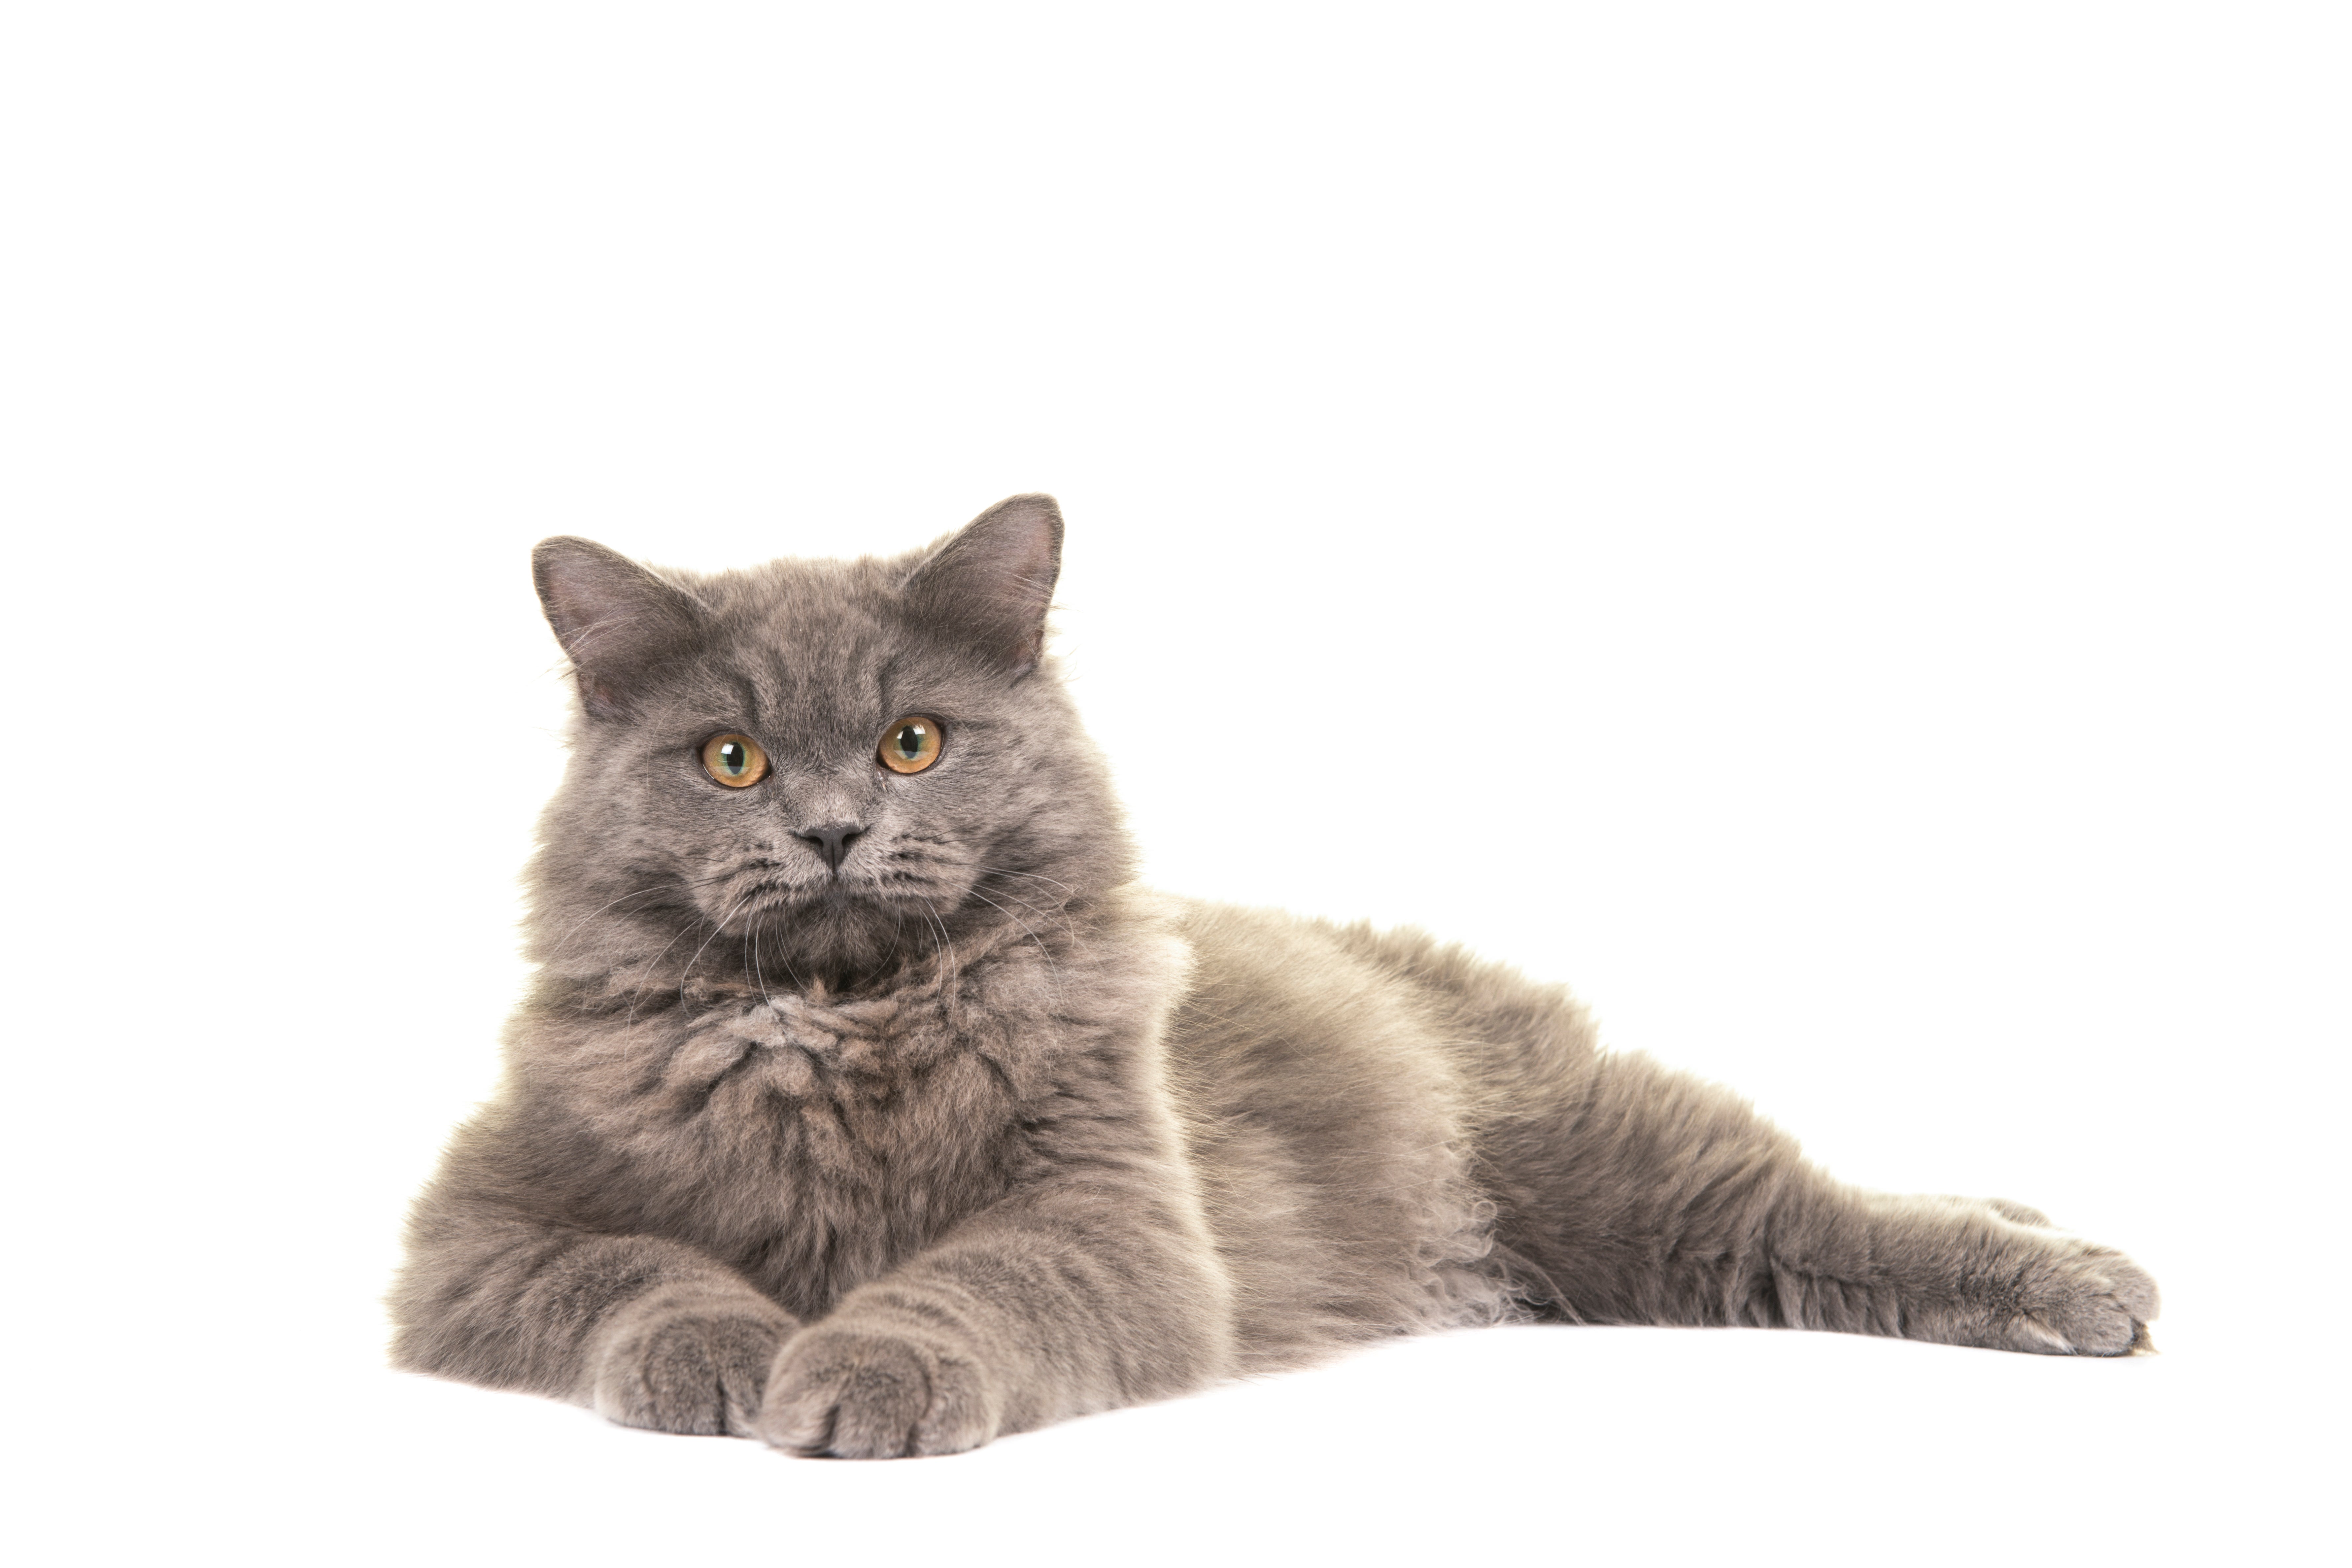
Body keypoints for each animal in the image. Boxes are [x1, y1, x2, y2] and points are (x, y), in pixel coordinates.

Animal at [390, 494, 2164, 1457]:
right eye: (732, 760)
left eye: (911, 742)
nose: (831, 831)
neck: (844, 1026)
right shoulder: (474, 1233)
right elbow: (637, 1270)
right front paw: (729, 1352)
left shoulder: (1112, 1216)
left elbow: (968, 1286)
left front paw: (856, 1367)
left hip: (1614, 1172)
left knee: (1823, 1207)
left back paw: (2086, 1279)